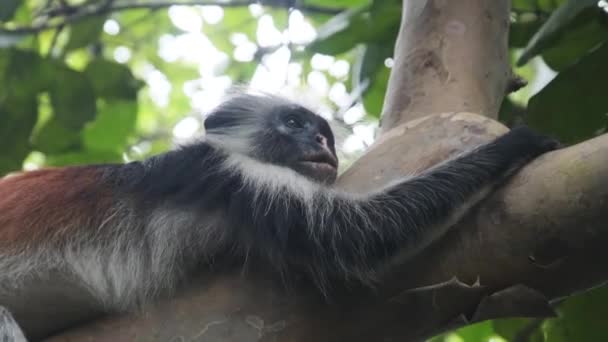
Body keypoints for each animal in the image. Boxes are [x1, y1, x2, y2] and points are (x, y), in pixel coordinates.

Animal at [1, 91, 560, 340]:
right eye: (293, 123)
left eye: (324, 134)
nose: (321, 145)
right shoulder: (232, 175)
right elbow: (357, 236)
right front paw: (519, 141)